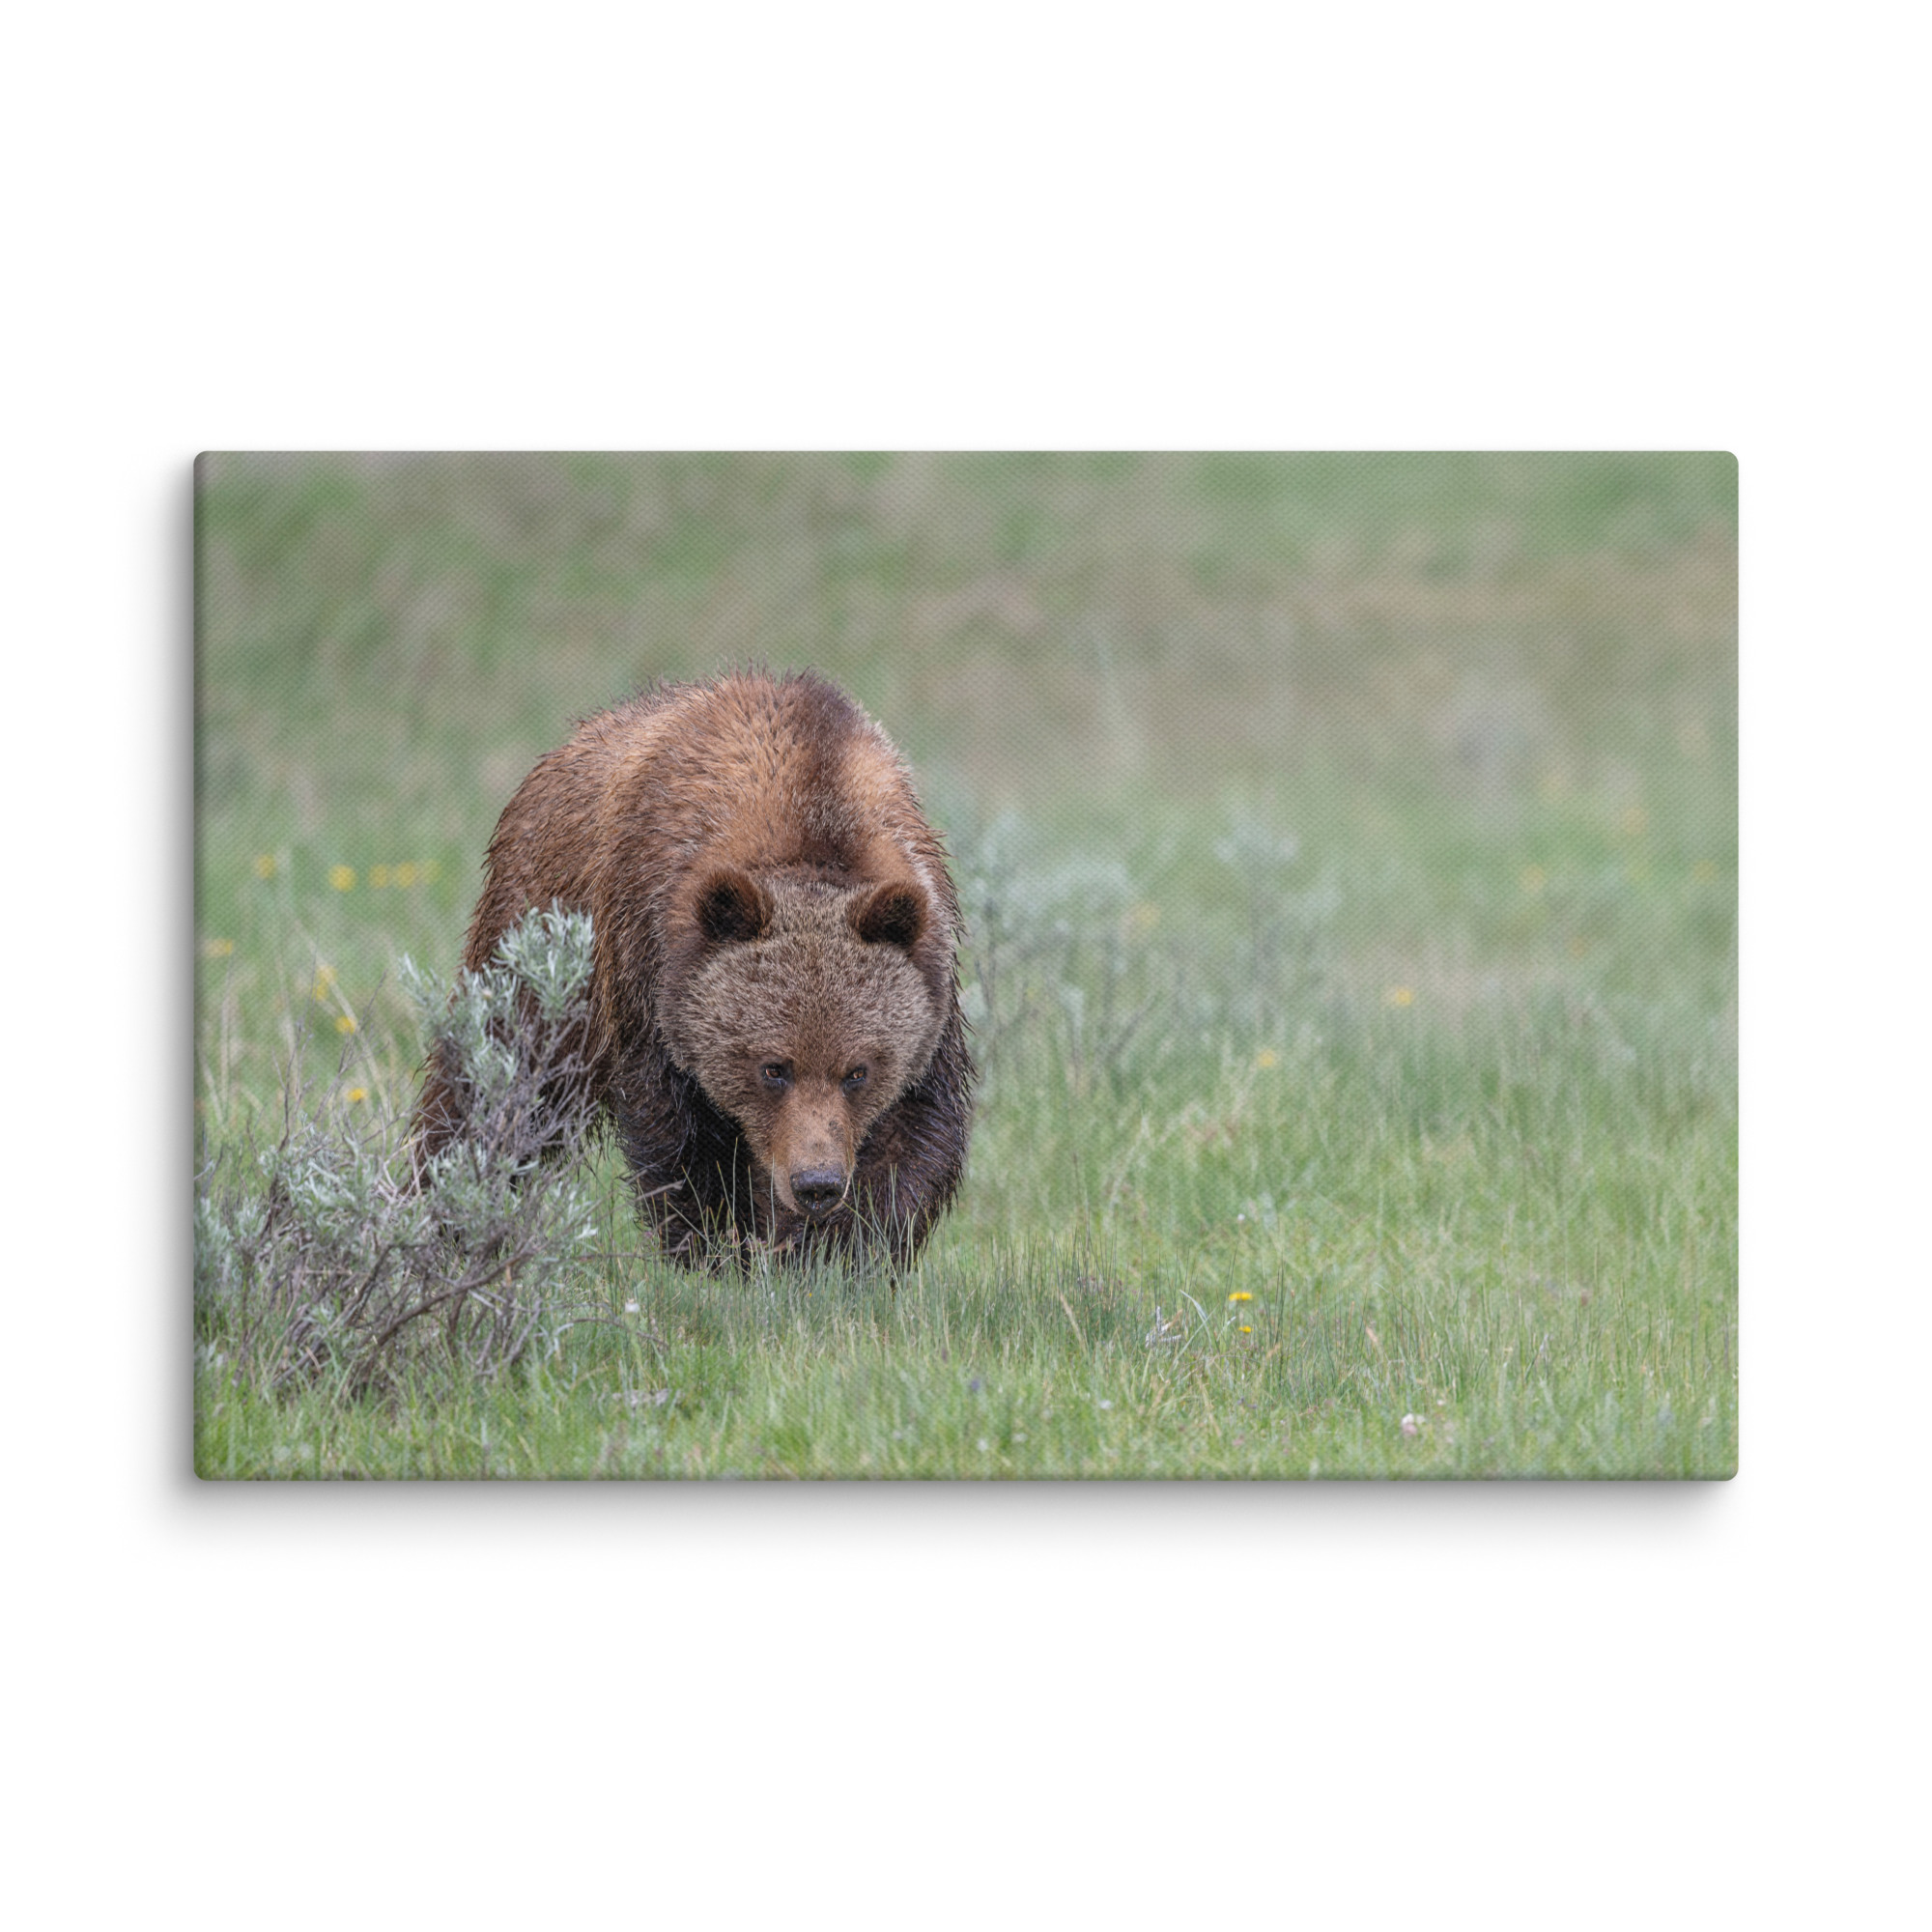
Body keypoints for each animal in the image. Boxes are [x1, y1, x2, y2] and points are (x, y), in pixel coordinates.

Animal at [411, 669, 974, 1267]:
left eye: (858, 1071)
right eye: (773, 1067)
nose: (815, 1183)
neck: (812, 814)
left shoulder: (930, 984)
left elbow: (912, 1138)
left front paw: (835, 1254)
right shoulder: (650, 969)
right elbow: (683, 1142)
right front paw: (719, 1250)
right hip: (540, 939)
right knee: (497, 1080)